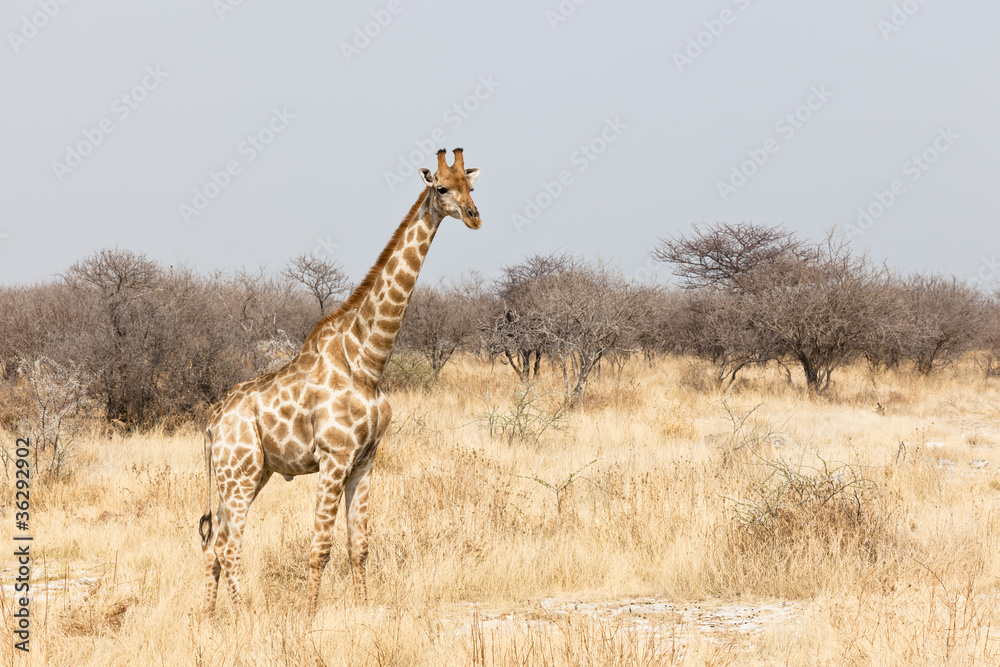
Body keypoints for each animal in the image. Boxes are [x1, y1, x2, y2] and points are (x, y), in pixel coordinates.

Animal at [199, 148, 481, 616]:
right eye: (441, 188)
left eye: (471, 186)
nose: (475, 217)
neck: (367, 361)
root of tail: (211, 422)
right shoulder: (333, 457)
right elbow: (320, 547)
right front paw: (309, 616)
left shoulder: (366, 459)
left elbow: (359, 544)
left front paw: (363, 609)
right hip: (239, 473)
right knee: (229, 545)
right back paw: (243, 618)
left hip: (249, 474)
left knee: (213, 543)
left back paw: (207, 619)